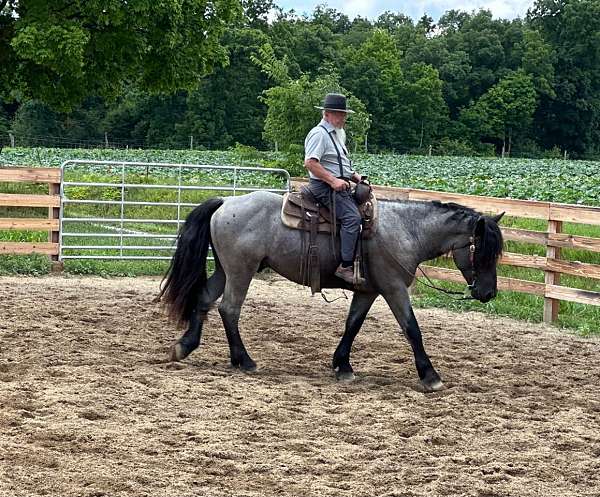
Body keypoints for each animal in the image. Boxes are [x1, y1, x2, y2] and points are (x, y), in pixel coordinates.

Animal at [157, 192, 504, 390]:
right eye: (482, 252)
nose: (488, 293)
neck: (406, 230)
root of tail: (225, 202)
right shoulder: (393, 288)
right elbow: (412, 328)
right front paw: (430, 376)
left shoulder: (368, 291)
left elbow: (353, 325)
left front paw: (343, 366)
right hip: (241, 271)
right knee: (229, 308)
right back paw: (245, 360)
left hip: (225, 269)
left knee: (205, 299)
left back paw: (185, 346)